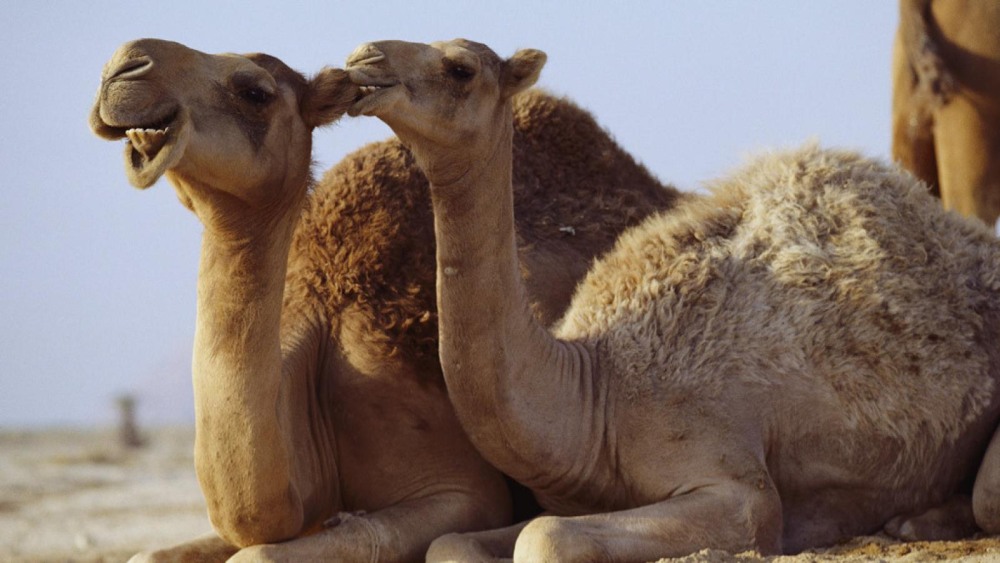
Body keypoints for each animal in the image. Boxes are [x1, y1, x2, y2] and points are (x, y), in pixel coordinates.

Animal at [347, 38, 1000, 561]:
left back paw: (913, 521)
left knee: (987, 497)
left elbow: (546, 536)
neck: (596, 389)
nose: (363, 59)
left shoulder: (735, 483)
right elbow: (451, 542)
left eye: (460, 68)